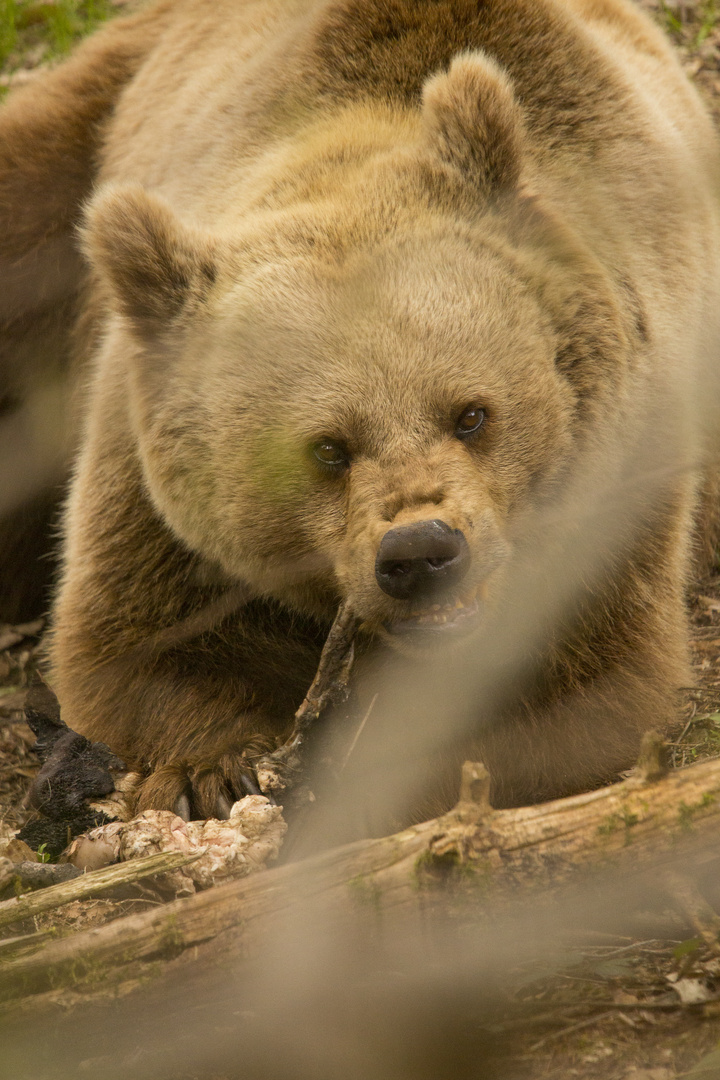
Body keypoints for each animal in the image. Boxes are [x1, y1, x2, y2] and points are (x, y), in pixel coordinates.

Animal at [1, 0, 720, 825]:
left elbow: (573, 689)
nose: (422, 553)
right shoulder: (151, 489)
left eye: (471, 414)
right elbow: (134, 647)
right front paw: (213, 771)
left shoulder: (615, 478)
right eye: (327, 448)